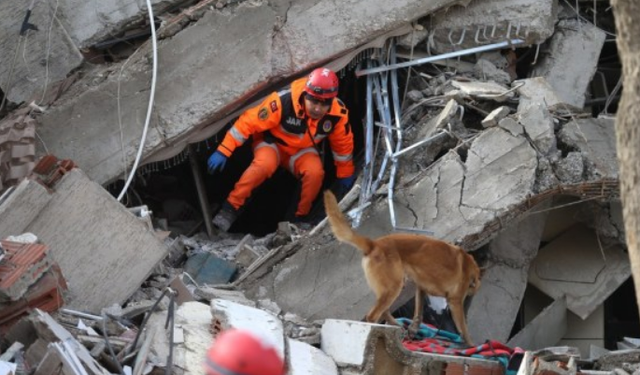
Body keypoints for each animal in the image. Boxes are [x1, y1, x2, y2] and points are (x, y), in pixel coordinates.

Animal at [324, 191, 480, 346]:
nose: (471, 296)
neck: (469, 265)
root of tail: (374, 244)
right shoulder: (455, 303)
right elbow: (464, 329)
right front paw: (471, 346)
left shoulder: (421, 288)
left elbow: (418, 313)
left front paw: (414, 329)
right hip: (394, 287)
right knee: (372, 315)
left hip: (390, 288)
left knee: (385, 311)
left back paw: (396, 327)